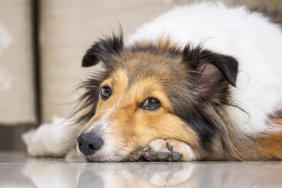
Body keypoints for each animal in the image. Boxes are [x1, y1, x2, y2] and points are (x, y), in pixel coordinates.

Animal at [22, 2, 282, 162]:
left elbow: (230, 146)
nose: (86, 143)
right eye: (105, 91)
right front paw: (41, 137)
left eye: (152, 103)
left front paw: (170, 146)